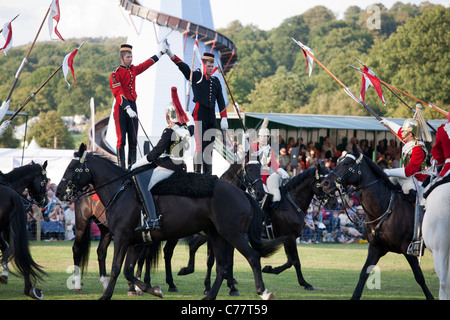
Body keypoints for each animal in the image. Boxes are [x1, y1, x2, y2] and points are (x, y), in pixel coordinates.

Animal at [55, 144, 282, 300]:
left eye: (73, 167)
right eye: (250, 170)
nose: (58, 191)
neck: (120, 191)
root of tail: (243, 194)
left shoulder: (122, 238)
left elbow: (118, 268)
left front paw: (108, 295)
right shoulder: (134, 241)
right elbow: (128, 270)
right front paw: (153, 289)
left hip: (231, 235)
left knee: (251, 257)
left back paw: (262, 291)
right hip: (219, 236)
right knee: (221, 266)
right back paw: (209, 296)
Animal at [258, 164, 336, 292]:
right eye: (325, 183)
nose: (334, 203)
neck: (292, 203)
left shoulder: (287, 238)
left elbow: (290, 261)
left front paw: (270, 269)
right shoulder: (290, 237)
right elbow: (296, 261)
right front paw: (305, 283)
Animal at [322, 148, 434, 300]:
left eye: (346, 163)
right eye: (339, 160)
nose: (325, 183)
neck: (384, 206)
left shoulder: (407, 248)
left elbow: (419, 276)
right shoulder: (376, 248)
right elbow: (363, 273)